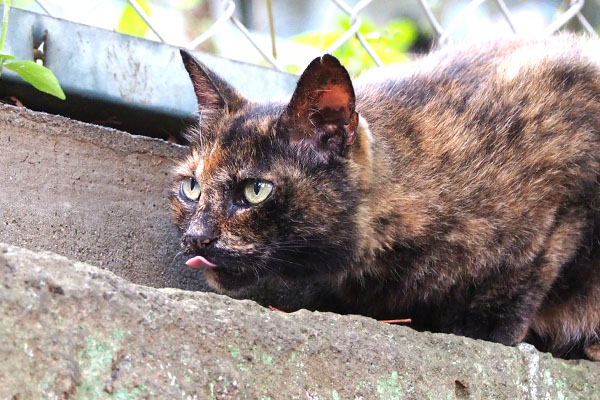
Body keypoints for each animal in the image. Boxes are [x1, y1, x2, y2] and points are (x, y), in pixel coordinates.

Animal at [169, 33, 600, 360]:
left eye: (255, 190)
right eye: (191, 188)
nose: (197, 237)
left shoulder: (568, 186)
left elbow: (532, 264)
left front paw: (487, 331)